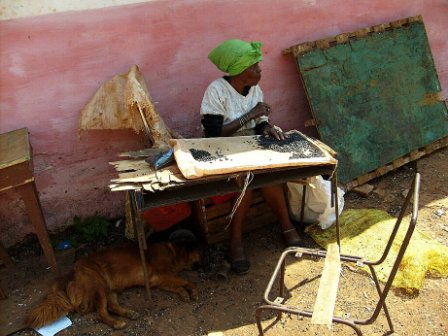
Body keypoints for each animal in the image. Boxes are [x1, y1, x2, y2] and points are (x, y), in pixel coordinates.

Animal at [27, 240, 201, 330]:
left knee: (111, 306)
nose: (203, 264)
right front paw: (193, 291)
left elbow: (178, 284)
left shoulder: (159, 280)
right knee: (100, 313)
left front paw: (184, 293)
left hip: (109, 289)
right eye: (198, 253)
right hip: (99, 287)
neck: (173, 253)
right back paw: (116, 323)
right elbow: (186, 281)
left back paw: (129, 313)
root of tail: (72, 271)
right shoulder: (160, 275)